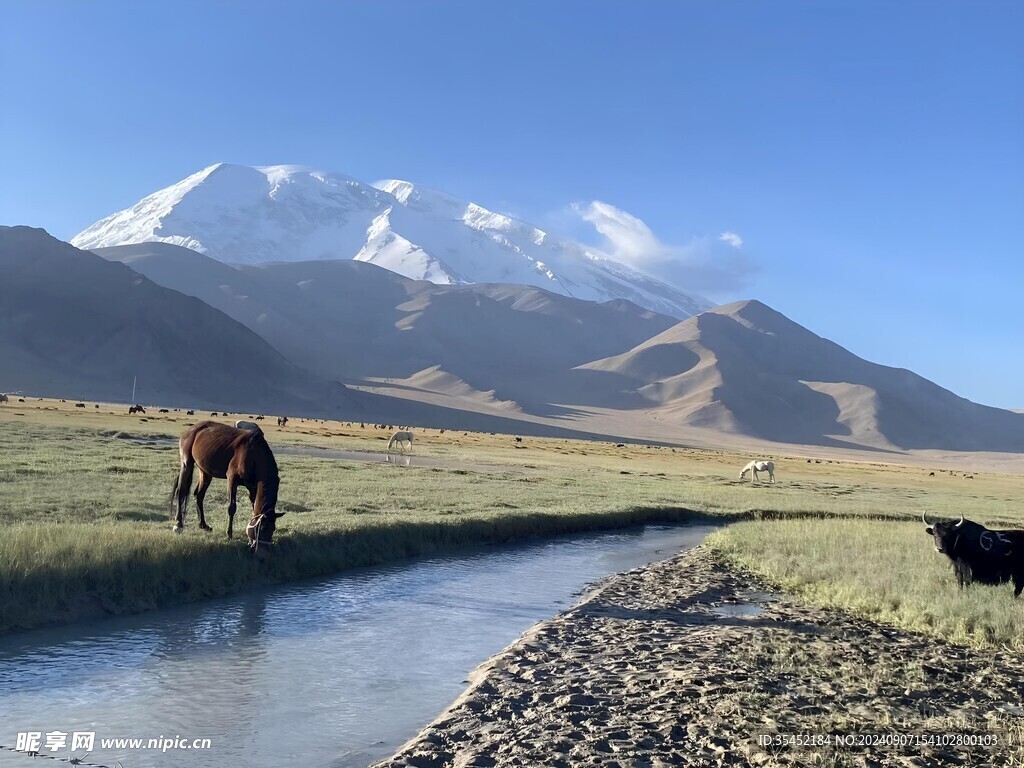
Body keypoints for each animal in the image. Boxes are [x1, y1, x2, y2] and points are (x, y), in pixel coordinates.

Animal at [171, 421, 284, 552]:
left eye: (273, 529)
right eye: (261, 529)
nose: (262, 552)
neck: (254, 454)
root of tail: (191, 430)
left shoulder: (253, 487)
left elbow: (254, 508)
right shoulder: (232, 480)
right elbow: (231, 508)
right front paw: (229, 535)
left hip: (205, 472)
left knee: (199, 495)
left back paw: (203, 525)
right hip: (186, 464)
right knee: (181, 492)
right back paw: (178, 524)